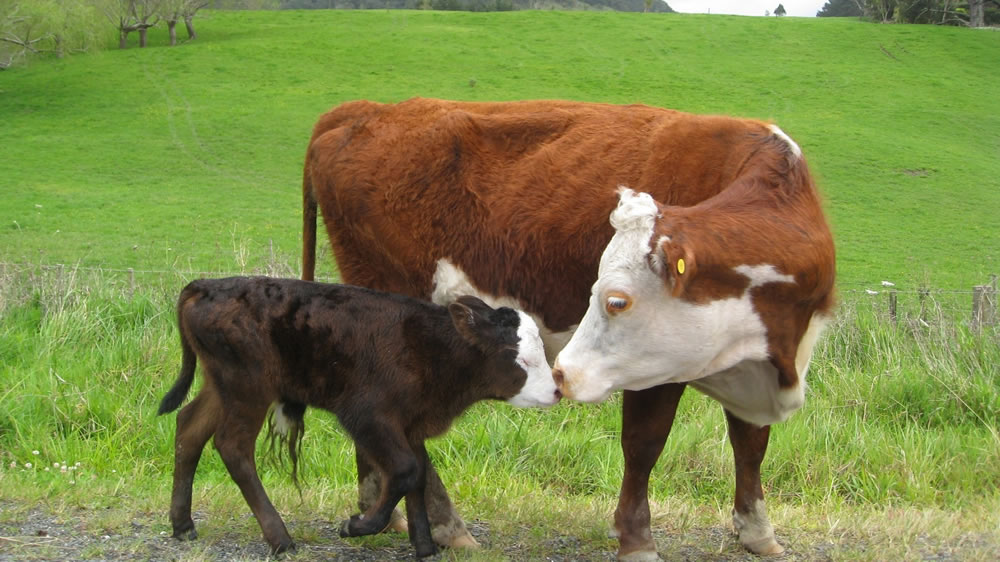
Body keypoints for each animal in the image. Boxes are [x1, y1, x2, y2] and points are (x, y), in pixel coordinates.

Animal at [157, 276, 564, 556]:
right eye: (520, 358)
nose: (557, 390)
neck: (430, 348)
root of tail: (208, 285)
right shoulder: (367, 416)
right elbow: (405, 470)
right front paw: (359, 525)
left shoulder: (411, 424)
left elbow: (417, 475)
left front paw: (424, 546)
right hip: (248, 388)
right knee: (233, 447)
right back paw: (280, 538)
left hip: (222, 386)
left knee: (188, 428)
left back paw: (182, 524)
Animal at [300, 96, 832, 556]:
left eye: (616, 300)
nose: (560, 375)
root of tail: (366, 109)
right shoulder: (656, 367)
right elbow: (644, 445)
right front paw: (637, 540)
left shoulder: (753, 356)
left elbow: (750, 443)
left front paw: (757, 531)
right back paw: (448, 525)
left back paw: (379, 509)